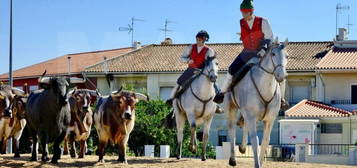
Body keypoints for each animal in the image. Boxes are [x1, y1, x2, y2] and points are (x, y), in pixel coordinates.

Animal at [224, 37, 288, 167]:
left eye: (287, 56)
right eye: (273, 54)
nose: (282, 76)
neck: (265, 87)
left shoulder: (269, 120)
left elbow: (265, 141)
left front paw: (260, 162)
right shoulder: (251, 116)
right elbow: (254, 139)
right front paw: (257, 164)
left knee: (244, 126)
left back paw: (242, 148)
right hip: (232, 108)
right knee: (232, 129)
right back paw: (232, 159)